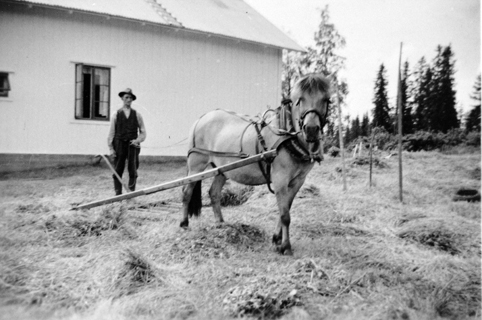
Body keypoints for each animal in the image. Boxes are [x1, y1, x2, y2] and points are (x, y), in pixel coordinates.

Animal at [178, 73, 332, 255]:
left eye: (326, 100)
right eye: (299, 100)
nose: (311, 129)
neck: (287, 136)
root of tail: (202, 117)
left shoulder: (298, 181)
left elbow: (286, 208)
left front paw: (277, 238)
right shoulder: (280, 179)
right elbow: (285, 215)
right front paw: (286, 246)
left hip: (222, 169)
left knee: (214, 192)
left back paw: (221, 223)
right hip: (196, 166)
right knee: (187, 192)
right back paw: (184, 223)